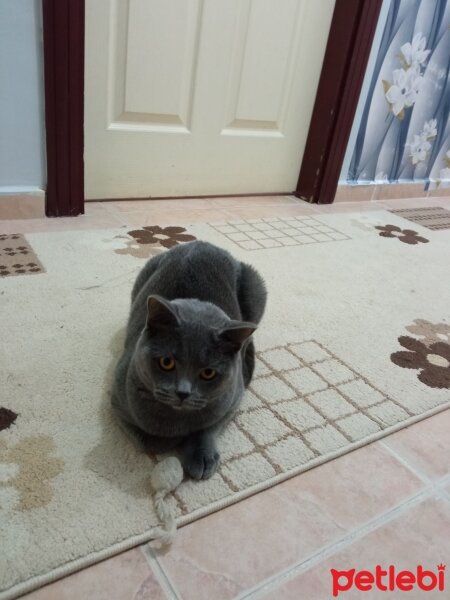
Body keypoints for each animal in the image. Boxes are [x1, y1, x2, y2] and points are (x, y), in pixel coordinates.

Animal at [112, 241, 268, 480]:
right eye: (166, 362)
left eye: (208, 373)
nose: (183, 392)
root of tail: (203, 243)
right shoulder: (117, 403)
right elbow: (149, 441)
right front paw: (175, 439)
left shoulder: (232, 400)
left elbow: (208, 427)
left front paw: (201, 456)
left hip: (256, 290)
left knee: (249, 338)